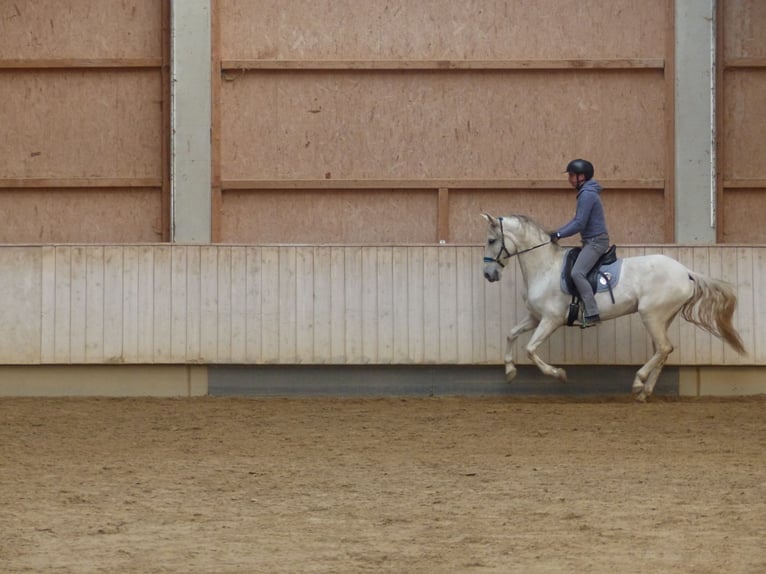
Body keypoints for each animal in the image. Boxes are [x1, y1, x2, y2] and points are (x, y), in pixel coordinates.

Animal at [480, 213, 746, 401]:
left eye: (492, 241)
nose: (488, 274)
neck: (545, 268)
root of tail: (684, 271)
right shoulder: (535, 318)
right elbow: (511, 335)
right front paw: (510, 372)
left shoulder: (551, 320)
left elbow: (530, 349)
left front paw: (559, 374)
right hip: (662, 319)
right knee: (663, 351)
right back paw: (645, 392)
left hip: (651, 315)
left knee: (663, 348)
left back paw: (638, 383)